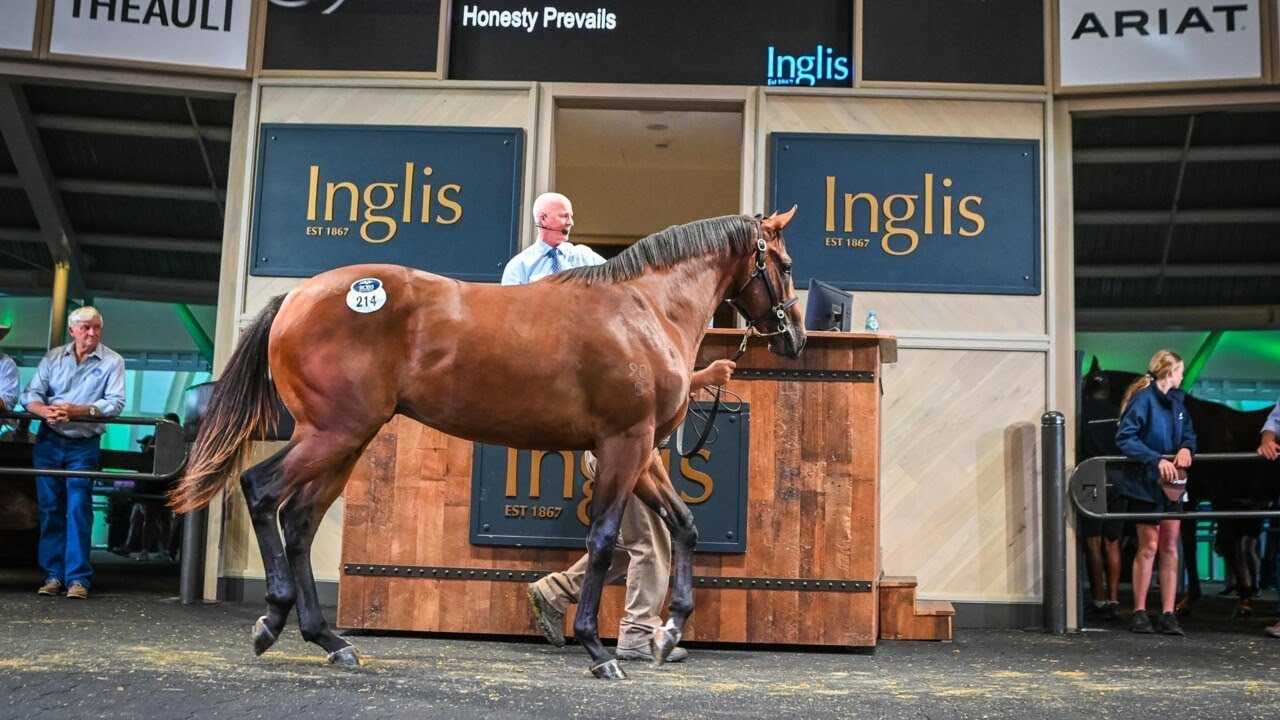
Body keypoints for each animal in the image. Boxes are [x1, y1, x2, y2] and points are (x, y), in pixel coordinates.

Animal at [168, 209, 806, 680]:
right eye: (785, 263)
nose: (796, 338)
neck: (644, 308)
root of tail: (295, 300)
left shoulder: (644, 451)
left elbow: (685, 527)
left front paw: (670, 631)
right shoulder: (624, 444)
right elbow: (603, 541)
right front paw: (597, 651)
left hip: (345, 440)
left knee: (299, 522)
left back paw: (328, 639)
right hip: (331, 433)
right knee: (260, 490)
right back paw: (273, 619)